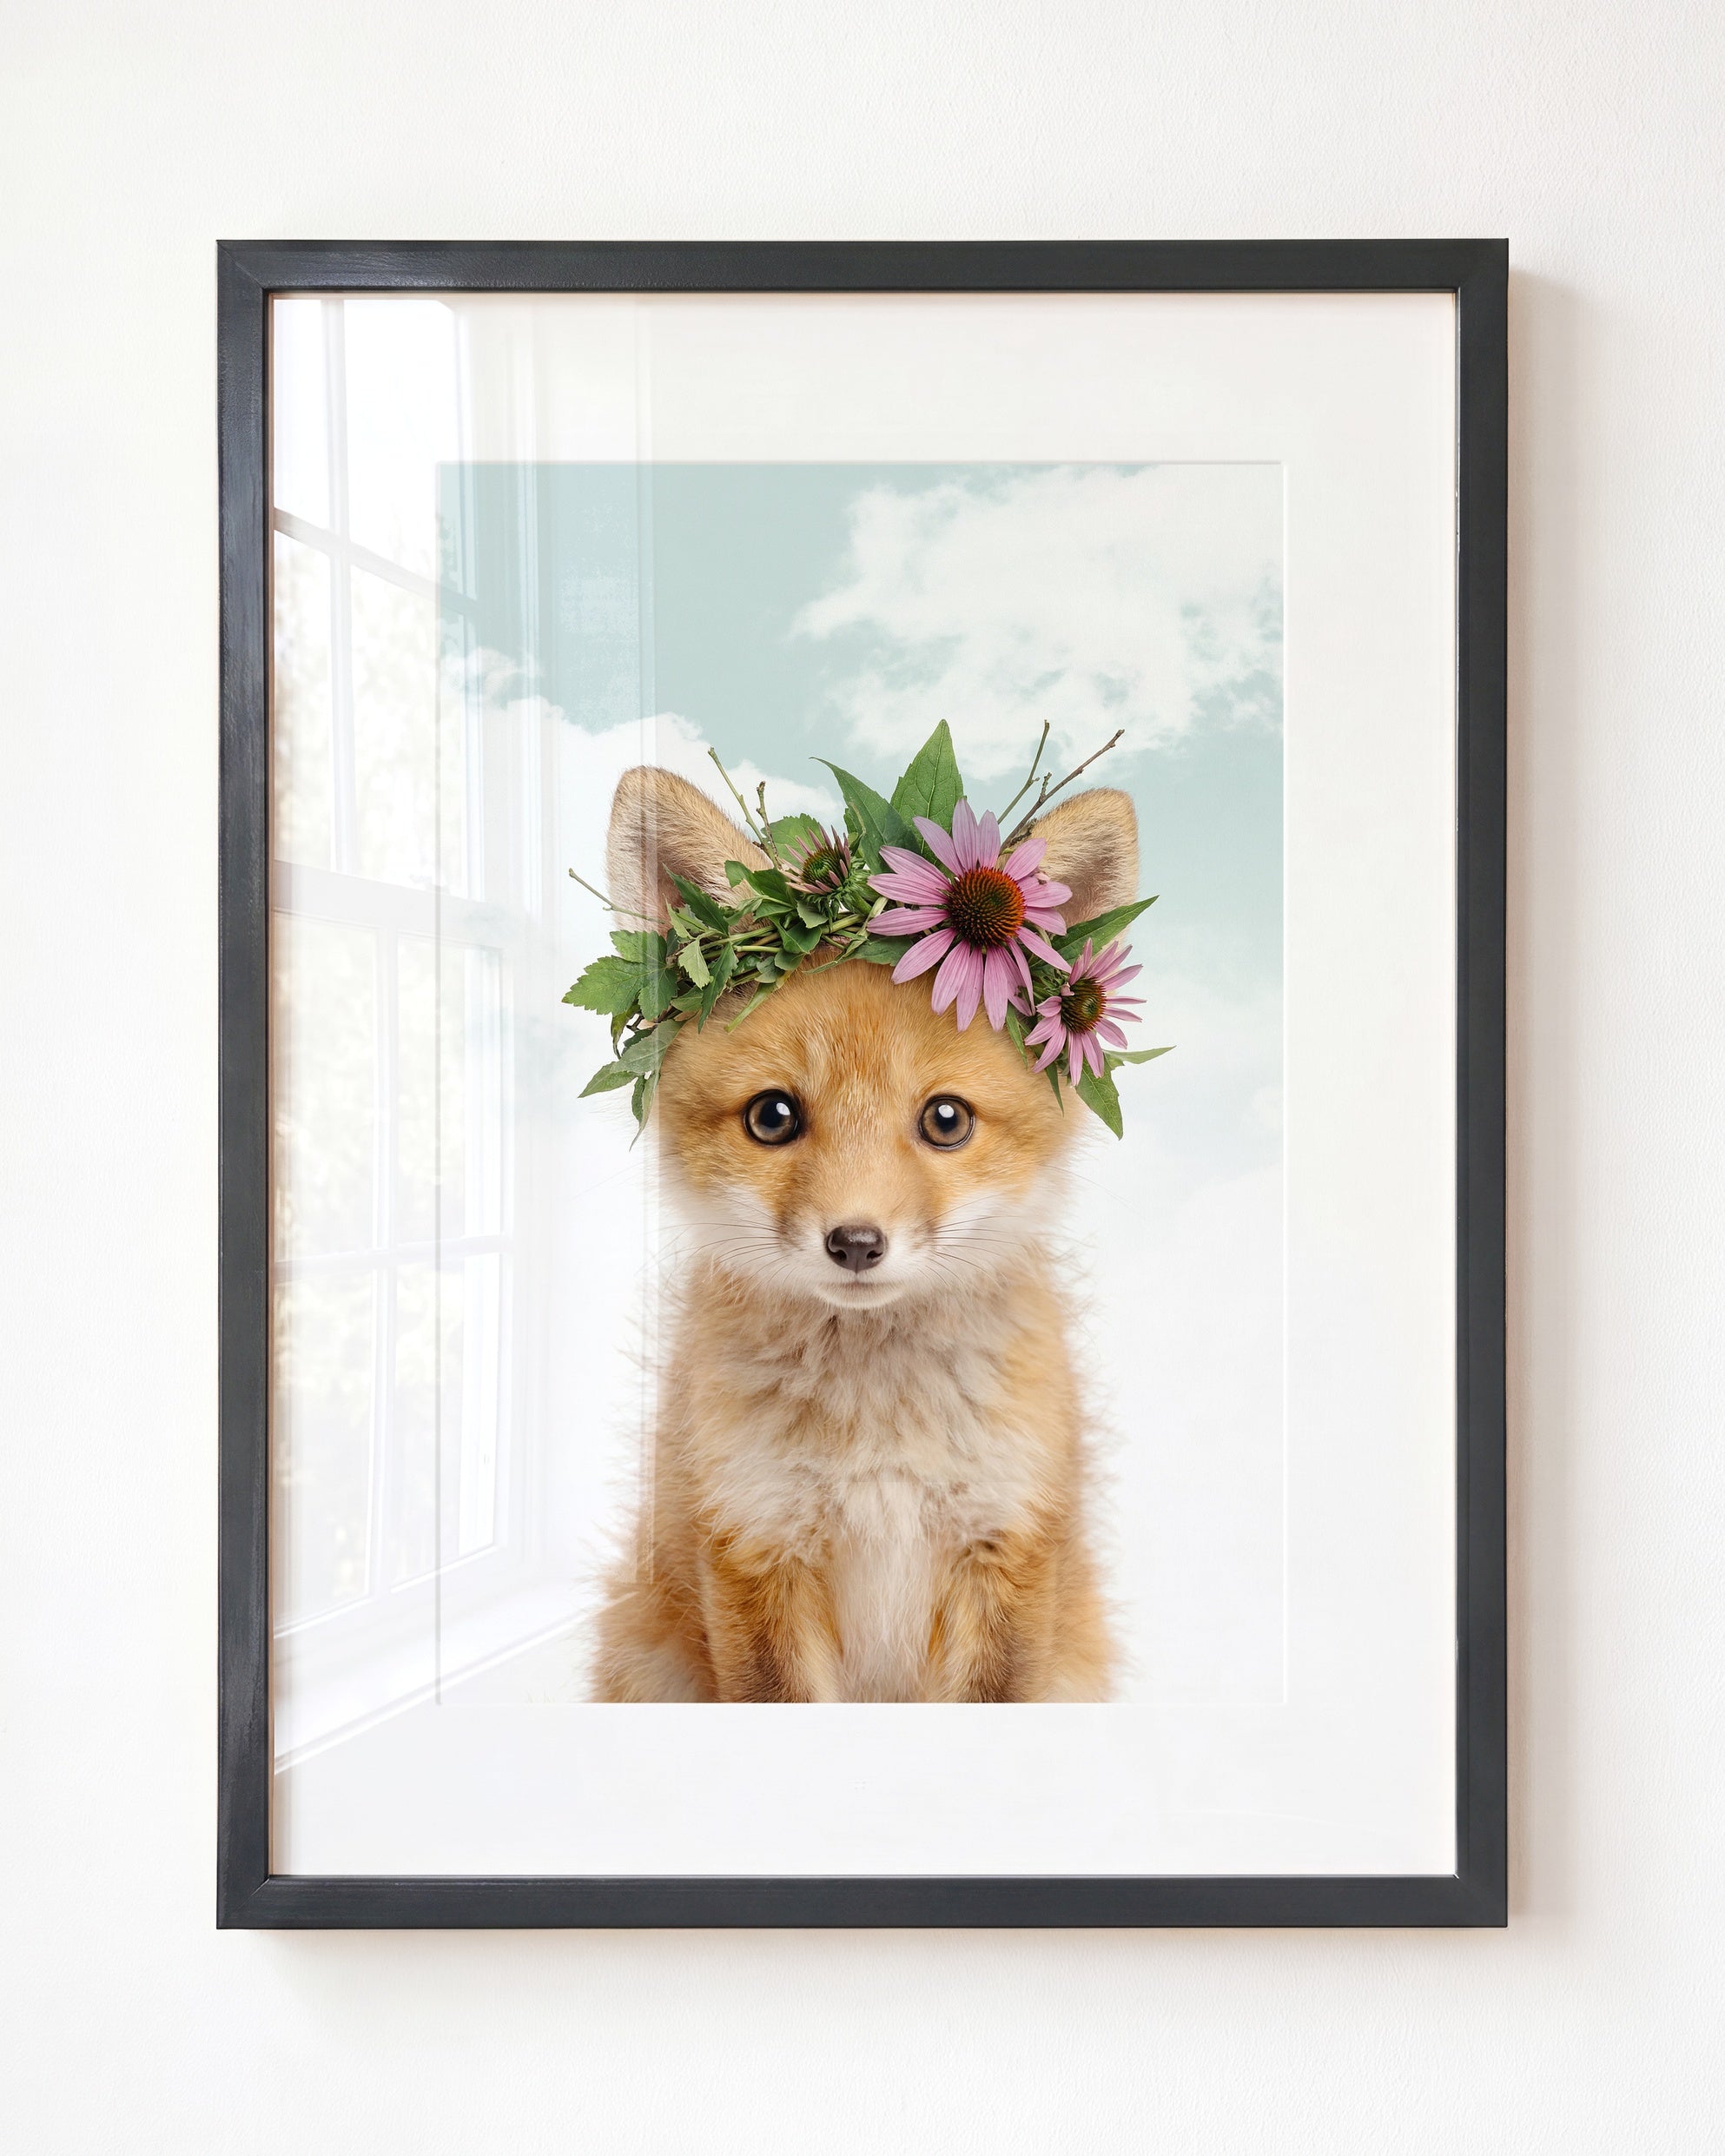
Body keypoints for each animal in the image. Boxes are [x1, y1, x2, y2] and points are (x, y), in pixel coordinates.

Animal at [589, 764, 1139, 1703]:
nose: (854, 1243)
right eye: (773, 1117)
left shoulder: (1006, 1545)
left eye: (946, 1120)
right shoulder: (755, 1545)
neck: (878, 1442)